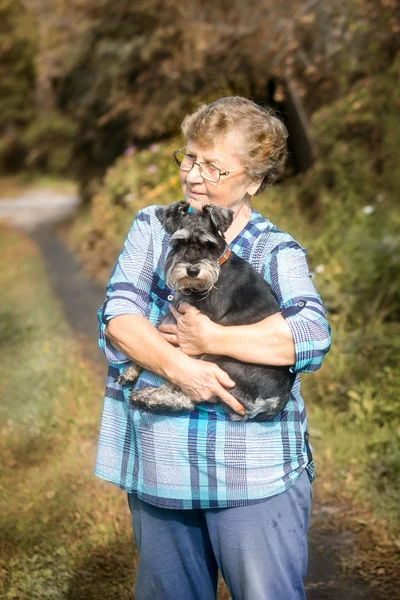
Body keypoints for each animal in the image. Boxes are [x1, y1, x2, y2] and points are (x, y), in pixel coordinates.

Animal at [117, 202, 296, 422]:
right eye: (179, 242)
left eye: (209, 244)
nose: (193, 270)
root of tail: (276, 402)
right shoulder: (176, 312)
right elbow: (157, 337)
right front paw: (131, 371)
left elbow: (176, 363)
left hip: (219, 362)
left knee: (186, 393)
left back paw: (148, 398)